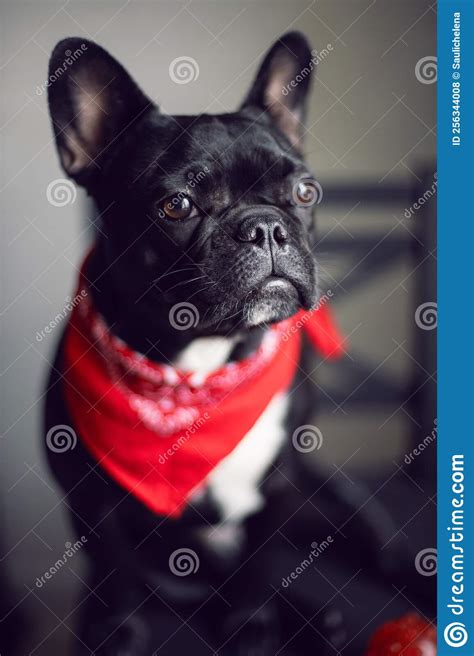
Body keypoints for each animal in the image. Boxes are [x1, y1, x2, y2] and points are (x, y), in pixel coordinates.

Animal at [44, 32, 400, 656]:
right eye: (177, 205)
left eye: (305, 191)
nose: (266, 226)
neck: (202, 364)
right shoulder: (91, 500)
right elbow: (114, 571)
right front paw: (119, 631)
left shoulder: (278, 485)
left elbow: (261, 563)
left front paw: (251, 623)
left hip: (330, 498)